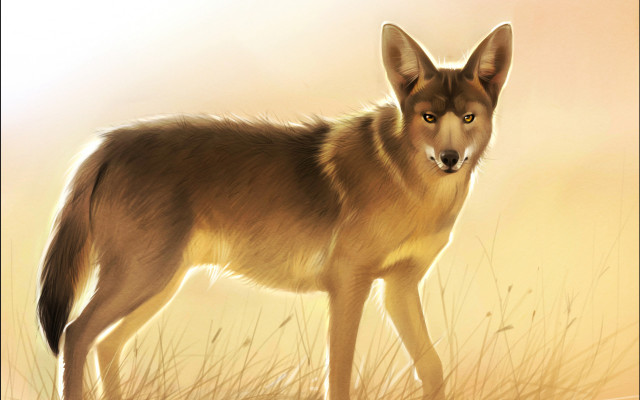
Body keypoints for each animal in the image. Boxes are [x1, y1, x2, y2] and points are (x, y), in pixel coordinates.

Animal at [37, 22, 512, 399]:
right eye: (429, 117)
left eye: (468, 118)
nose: (450, 158)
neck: (409, 183)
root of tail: (105, 144)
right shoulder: (349, 284)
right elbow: (340, 376)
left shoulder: (398, 287)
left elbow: (431, 367)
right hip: (144, 277)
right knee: (76, 334)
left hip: (159, 284)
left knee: (105, 343)